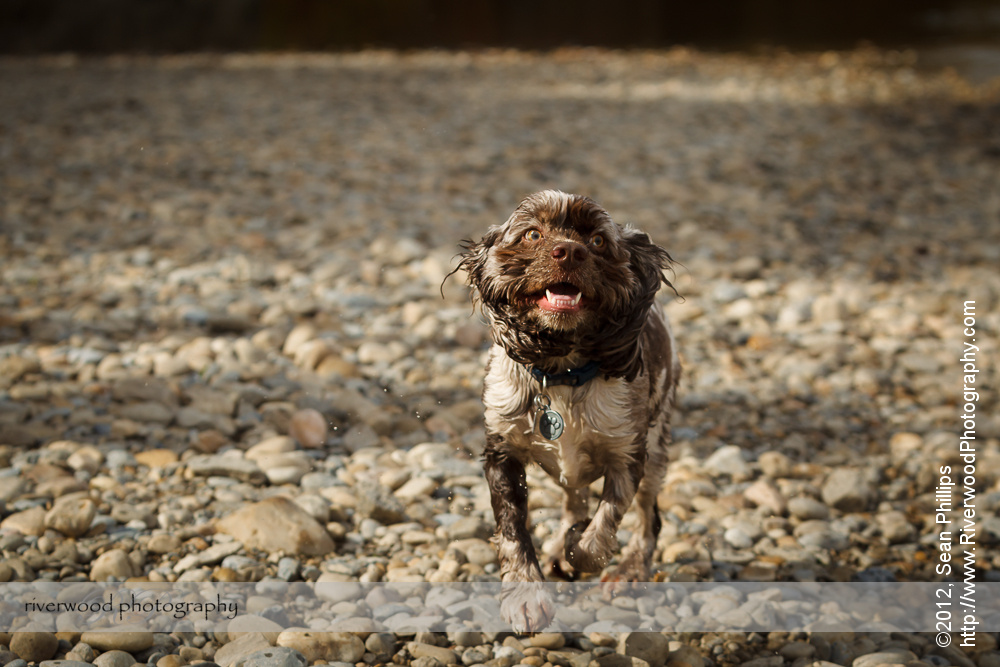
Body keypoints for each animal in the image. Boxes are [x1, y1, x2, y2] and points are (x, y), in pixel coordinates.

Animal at [458, 189, 684, 632]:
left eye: (597, 241)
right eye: (532, 234)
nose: (568, 251)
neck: (562, 373)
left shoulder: (628, 455)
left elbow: (600, 533)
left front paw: (577, 547)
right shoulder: (501, 452)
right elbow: (512, 529)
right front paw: (527, 595)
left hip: (657, 451)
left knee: (648, 518)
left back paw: (628, 570)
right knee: (573, 496)